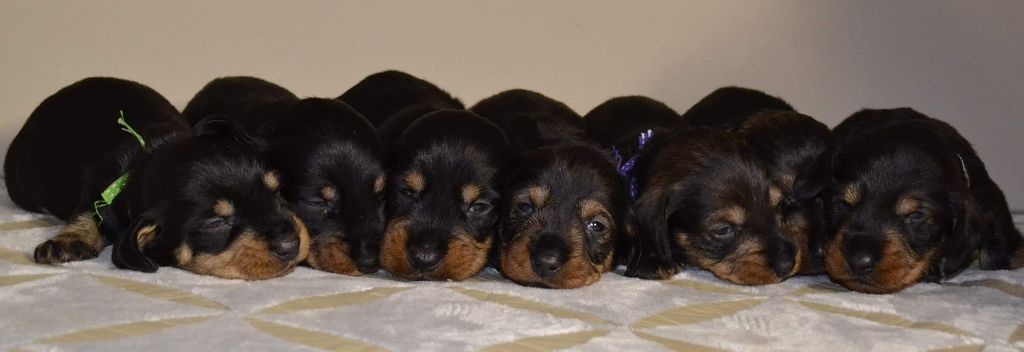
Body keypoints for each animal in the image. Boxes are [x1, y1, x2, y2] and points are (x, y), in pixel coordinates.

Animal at [4, 77, 307, 280]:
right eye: (215, 223)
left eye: (276, 192)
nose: (292, 245)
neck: (149, 155)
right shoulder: (98, 181)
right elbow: (87, 209)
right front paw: (69, 240)